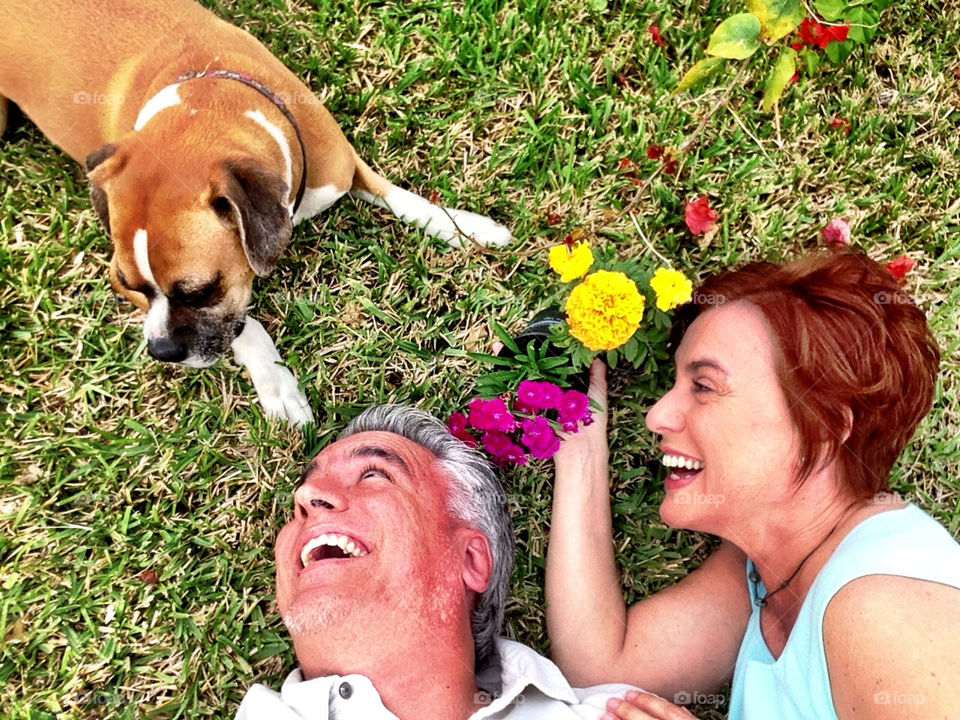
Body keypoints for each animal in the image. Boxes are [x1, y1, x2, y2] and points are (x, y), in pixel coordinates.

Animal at [0, 1, 512, 422]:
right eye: (130, 287)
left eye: (201, 290)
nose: (161, 350)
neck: (205, 97)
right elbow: (244, 326)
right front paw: (277, 384)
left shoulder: (344, 168)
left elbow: (403, 198)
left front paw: (467, 227)